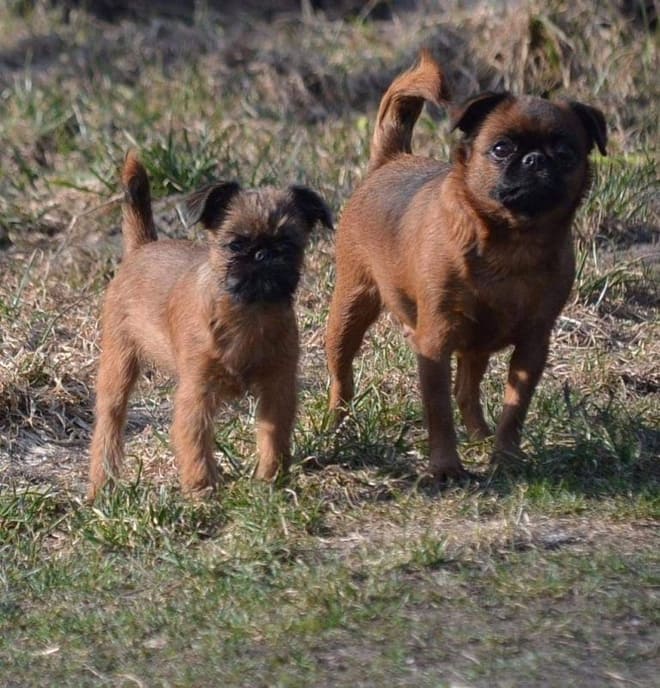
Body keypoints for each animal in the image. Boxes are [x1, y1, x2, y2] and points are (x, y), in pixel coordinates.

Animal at [88, 151, 332, 499]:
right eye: (235, 245)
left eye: (288, 244)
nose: (263, 254)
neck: (248, 314)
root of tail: (143, 247)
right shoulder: (197, 392)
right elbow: (195, 440)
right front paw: (201, 487)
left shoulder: (278, 386)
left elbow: (273, 435)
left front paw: (270, 479)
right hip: (118, 362)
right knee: (110, 421)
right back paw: (101, 484)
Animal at [325, 50, 606, 479]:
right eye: (501, 149)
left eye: (565, 154)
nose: (535, 159)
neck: (511, 241)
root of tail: (391, 159)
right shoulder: (435, 342)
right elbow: (438, 411)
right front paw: (445, 467)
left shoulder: (533, 346)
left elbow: (514, 407)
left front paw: (505, 457)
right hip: (351, 307)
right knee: (342, 375)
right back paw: (337, 426)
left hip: (477, 342)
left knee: (467, 391)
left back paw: (481, 437)